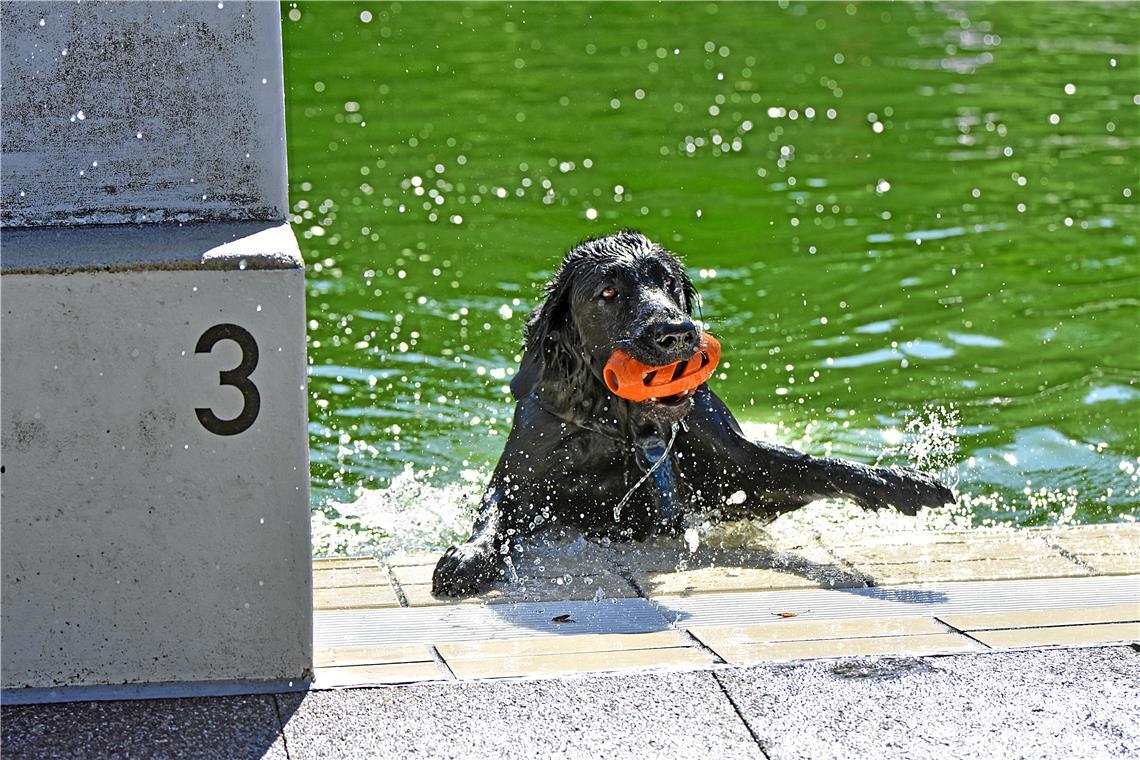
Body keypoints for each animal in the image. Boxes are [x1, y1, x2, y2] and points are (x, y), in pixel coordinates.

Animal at [430, 229, 957, 597]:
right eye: (607, 292)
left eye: (667, 282)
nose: (678, 333)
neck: (628, 429)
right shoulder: (522, 475)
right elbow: (493, 515)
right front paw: (467, 557)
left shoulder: (740, 473)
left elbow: (819, 466)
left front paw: (908, 483)